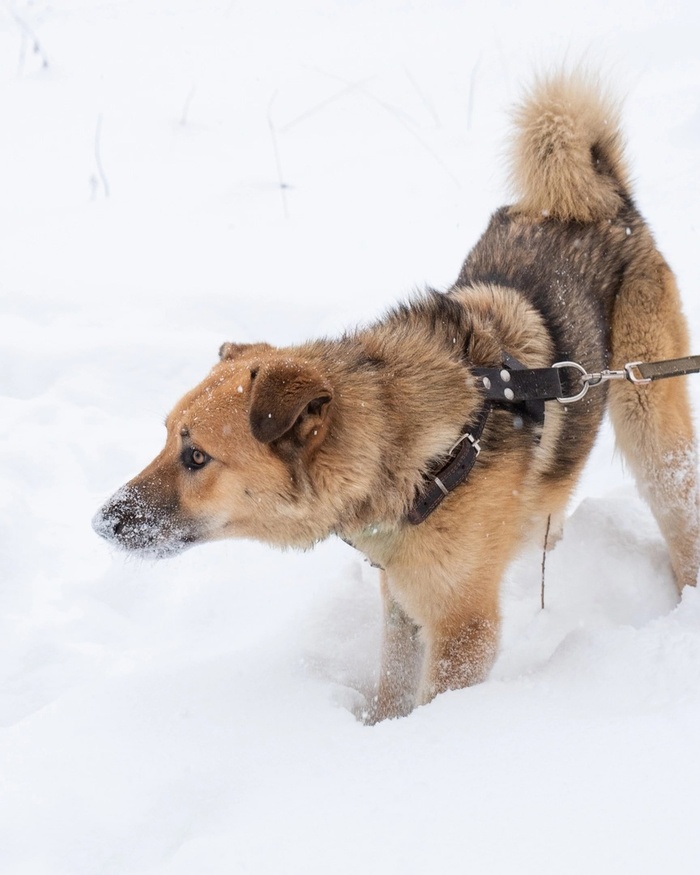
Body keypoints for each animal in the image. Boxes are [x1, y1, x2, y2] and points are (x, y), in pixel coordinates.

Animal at [93, 72, 699, 721]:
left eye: (197, 456)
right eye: (165, 439)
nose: (100, 523)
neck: (403, 444)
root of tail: (601, 199)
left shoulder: (464, 626)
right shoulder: (403, 598)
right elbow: (392, 687)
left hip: (653, 433)